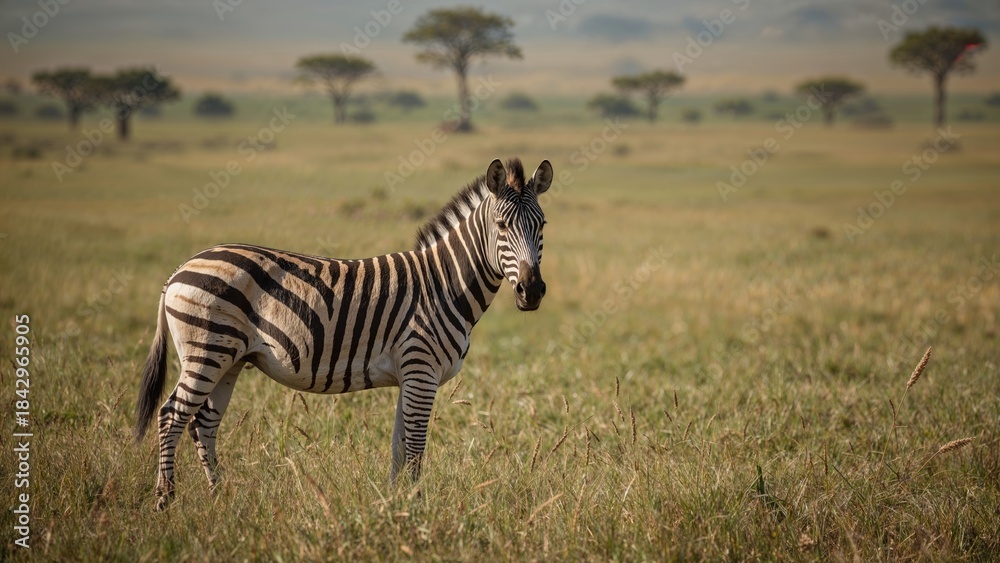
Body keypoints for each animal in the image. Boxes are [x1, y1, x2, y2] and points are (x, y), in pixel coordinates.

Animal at [135, 157, 552, 510]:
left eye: (542, 225)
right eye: (501, 227)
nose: (531, 291)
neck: (444, 283)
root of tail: (179, 270)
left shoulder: (410, 375)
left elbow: (399, 447)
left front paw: (394, 505)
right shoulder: (421, 370)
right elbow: (416, 446)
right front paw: (417, 508)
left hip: (229, 359)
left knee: (204, 424)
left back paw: (220, 498)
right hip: (206, 351)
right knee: (172, 416)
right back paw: (165, 501)